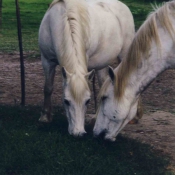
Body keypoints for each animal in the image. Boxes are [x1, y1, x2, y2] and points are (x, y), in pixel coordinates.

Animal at [38, 0, 134, 137]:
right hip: (101, 65)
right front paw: (45, 117)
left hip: (124, 55)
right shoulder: (46, 60)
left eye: (87, 101)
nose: (78, 133)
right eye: (66, 101)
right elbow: (48, 88)